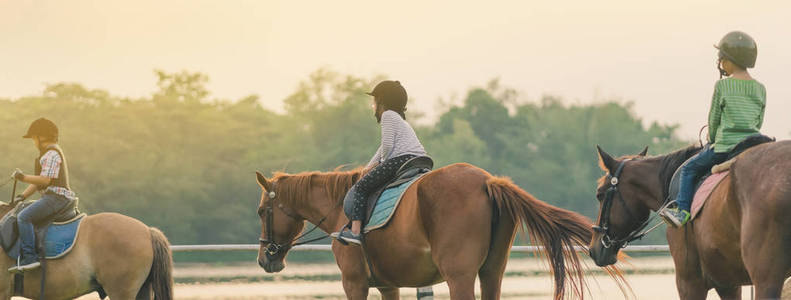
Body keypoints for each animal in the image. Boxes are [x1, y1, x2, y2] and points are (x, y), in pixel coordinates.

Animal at [254, 163, 624, 298]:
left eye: (261, 211)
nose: (264, 260)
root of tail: (488, 181)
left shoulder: (354, 284)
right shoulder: (388, 285)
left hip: (459, 276)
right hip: (491, 273)